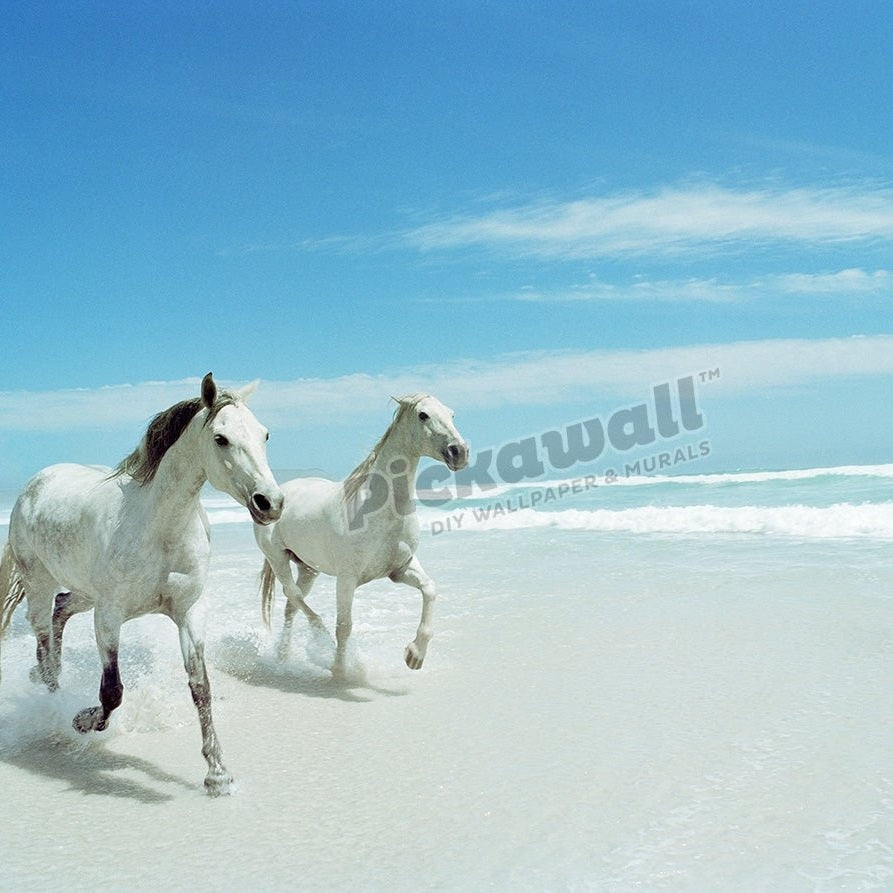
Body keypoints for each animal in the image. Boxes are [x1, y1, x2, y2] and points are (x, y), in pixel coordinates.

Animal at [0, 373, 283, 795]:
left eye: (264, 435)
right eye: (221, 438)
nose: (271, 503)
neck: (160, 528)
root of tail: (35, 482)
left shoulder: (189, 612)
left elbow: (201, 688)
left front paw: (218, 775)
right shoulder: (109, 616)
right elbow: (112, 691)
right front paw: (83, 721)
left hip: (83, 592)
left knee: (61, 610)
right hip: (40, 585)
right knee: (45, 646)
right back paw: (55, 708)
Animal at [255, 394, 468, 677]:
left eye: (452, 414)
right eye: (423, 415)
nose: (459, 452)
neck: (380, 509)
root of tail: (274, 498)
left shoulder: (401, 569)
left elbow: (430, 589)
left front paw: (414, 656)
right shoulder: (347, 579)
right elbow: (344, 625)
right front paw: (339, 670)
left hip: (308, 568)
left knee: (292, 606)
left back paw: (283, 657)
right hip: (278, 559)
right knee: (294, 596)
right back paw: (319, 641)